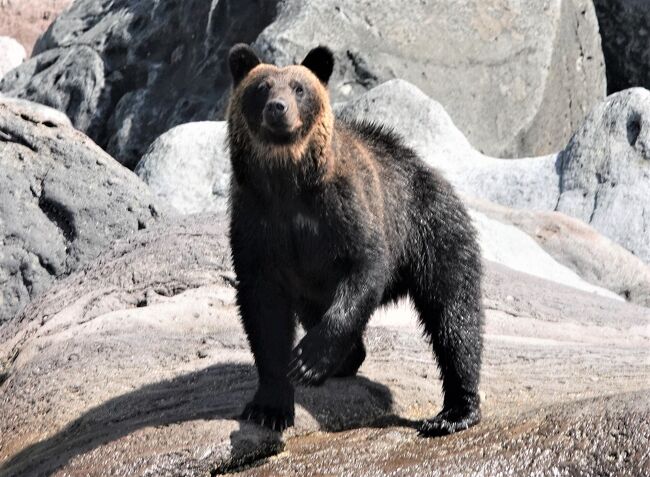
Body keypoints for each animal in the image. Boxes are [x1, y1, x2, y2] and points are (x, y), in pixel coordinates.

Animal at [227, 43, 480, 436]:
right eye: (262, 87)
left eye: (299, 88)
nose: (277, 108)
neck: (289, 183)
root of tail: (430, 170)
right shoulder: (255, 220)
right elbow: (263, 307)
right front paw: (269, 406)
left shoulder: (344, 205)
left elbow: (365, 264)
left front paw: (308, 360)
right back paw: (346, 360)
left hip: (434, 230)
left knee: (455, 315)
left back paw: (453, 412)